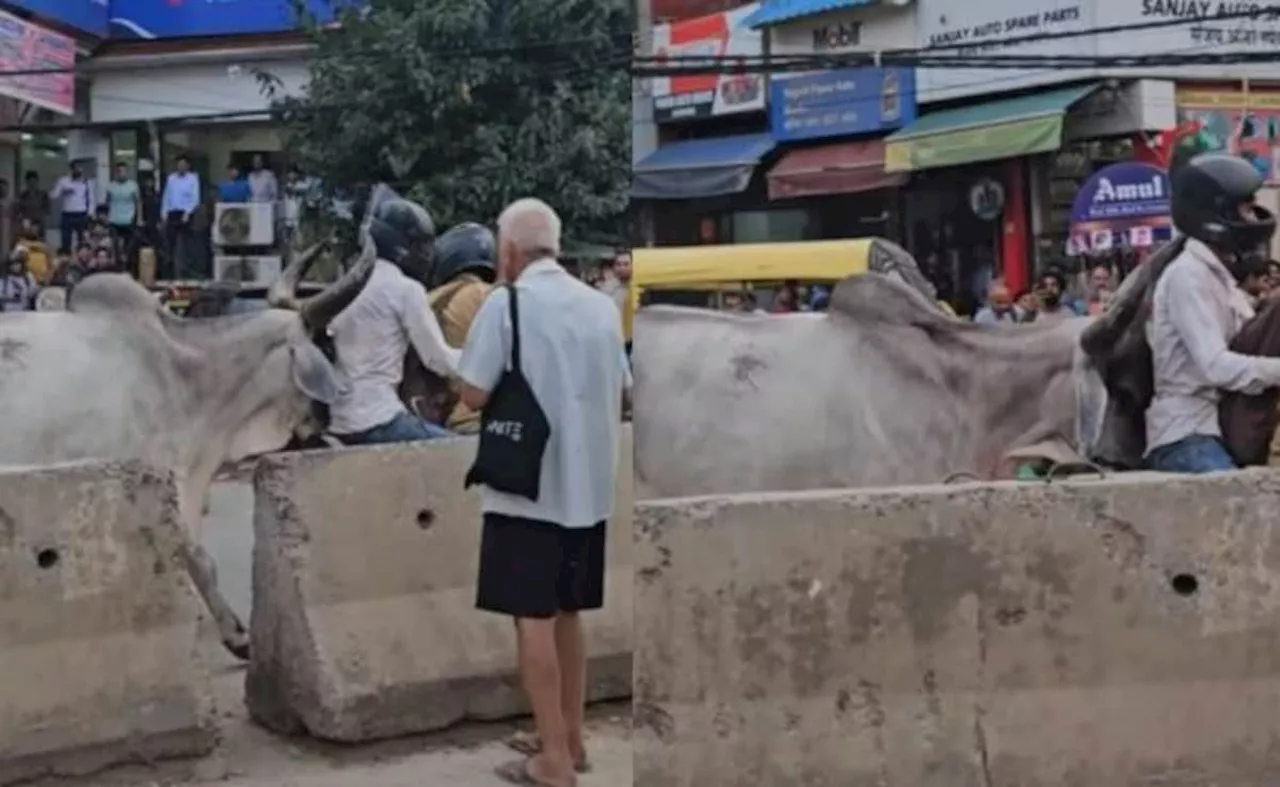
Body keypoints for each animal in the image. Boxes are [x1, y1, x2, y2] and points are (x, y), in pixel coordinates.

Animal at [0, 238, 373, 660]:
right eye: (326, 348)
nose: (329, 422)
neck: (185, 373)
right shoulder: (163, 484)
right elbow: (200, 561)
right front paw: (237, 636)